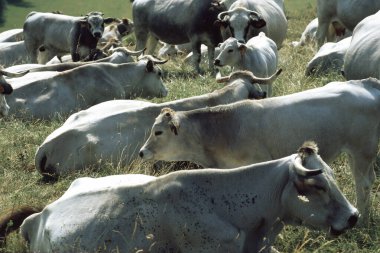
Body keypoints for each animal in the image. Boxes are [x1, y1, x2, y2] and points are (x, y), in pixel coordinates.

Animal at [140, 77, 380, 221]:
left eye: (158, 132)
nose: (142, 152)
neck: (223, 130)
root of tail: (365, 83)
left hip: (363, 149)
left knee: (363, 183)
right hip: (356, 153)